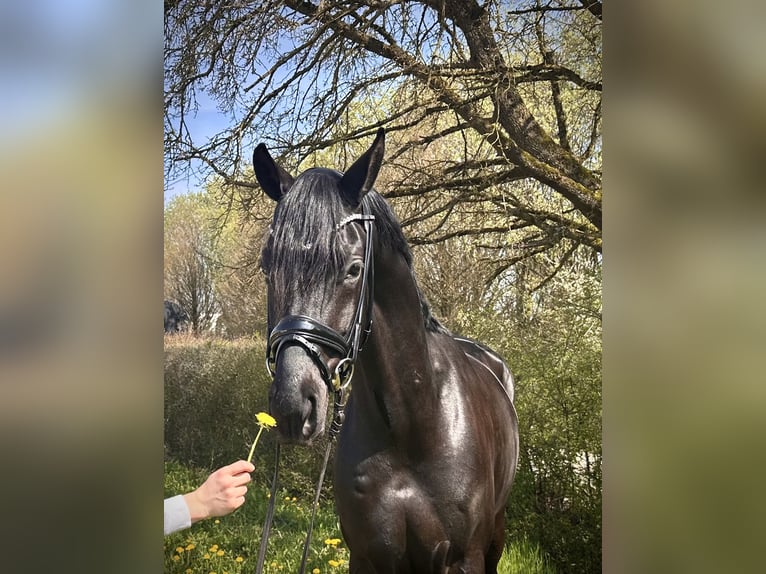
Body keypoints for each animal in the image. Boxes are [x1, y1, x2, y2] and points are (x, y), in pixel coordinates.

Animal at [253, 128, 518, 573]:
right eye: (266, 266)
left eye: (354, 269)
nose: (293, 406)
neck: (413, 424)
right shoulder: (367, 556)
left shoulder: (464, 558)